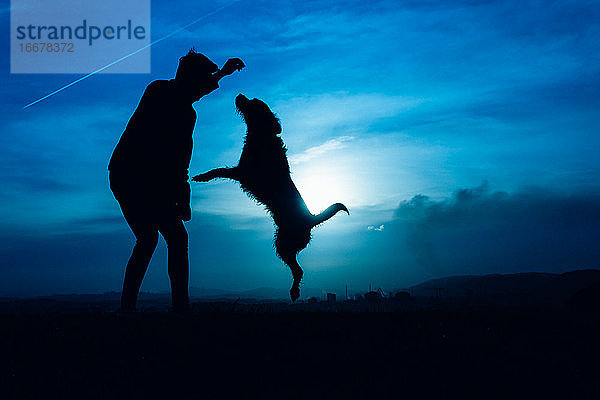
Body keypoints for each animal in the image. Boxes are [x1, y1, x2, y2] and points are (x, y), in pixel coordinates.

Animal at [195, 94, 350, 300]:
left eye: (254, 103)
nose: (239, 95)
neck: (263, 136)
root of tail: (311, 219)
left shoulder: (242, 172)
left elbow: (219, 170)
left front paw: (202, 177)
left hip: (283, 243)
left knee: (298, 270)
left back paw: (294, 291)